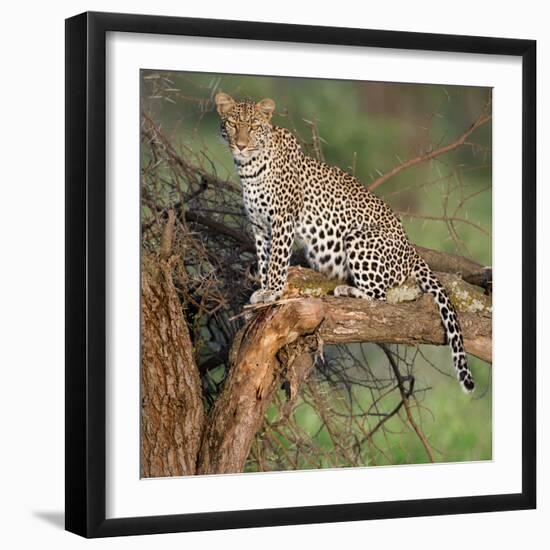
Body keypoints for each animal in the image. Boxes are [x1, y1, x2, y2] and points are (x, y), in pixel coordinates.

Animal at [218, 91, 476, 392]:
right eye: (233, 123)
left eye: (254, 127)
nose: (241, 145)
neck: (249, 168)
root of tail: (412, 251)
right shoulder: (260, 226)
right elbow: (264, 258)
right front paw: (260, 292)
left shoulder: (283, 220)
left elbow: (277, 262)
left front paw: (272, 292)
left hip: (357, 239)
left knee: (380, 297)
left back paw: (348, 290)